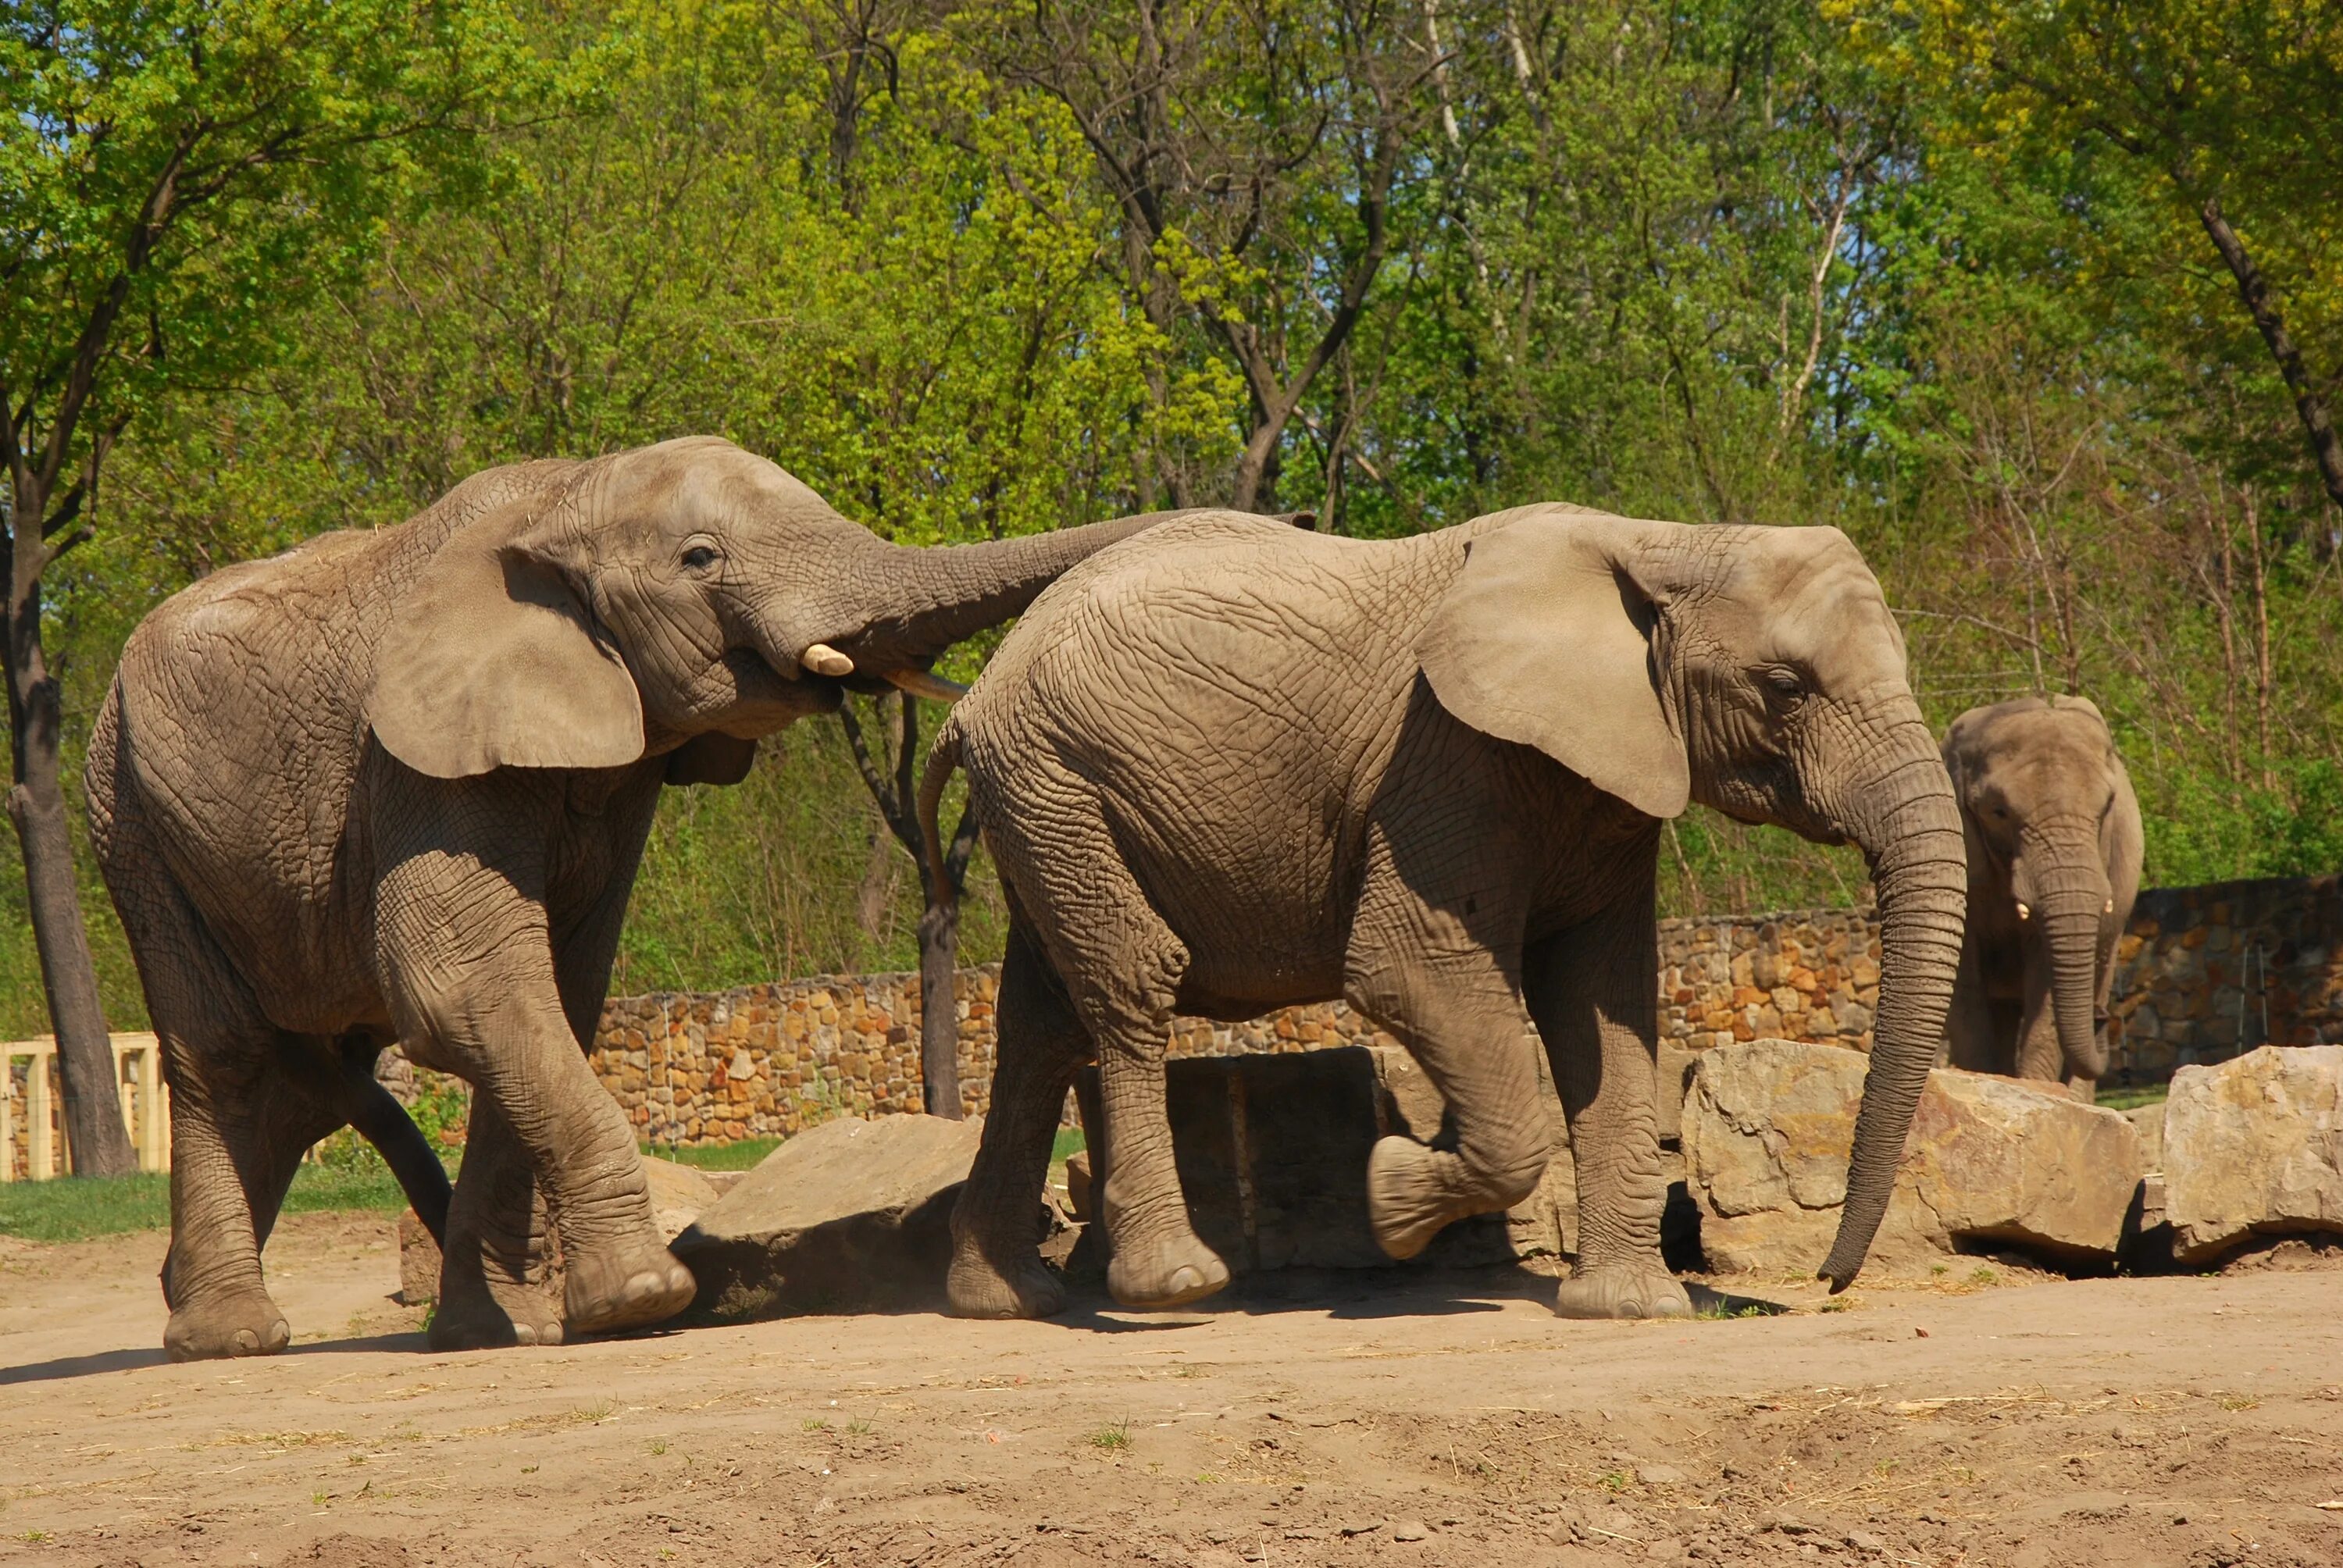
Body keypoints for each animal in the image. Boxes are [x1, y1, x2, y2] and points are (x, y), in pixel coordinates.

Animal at [91, 438, 1172, 1359]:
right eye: (699, 558)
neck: (563, 497)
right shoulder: (408, 761)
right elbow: (464, 988)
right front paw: (641, 1301)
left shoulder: (611, 771)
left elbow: (560, 991)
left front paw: (509, 1332)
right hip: (130, 821)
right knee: (225, 1058)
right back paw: (232, 1338)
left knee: (297, 1084)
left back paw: (194, 1300)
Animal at [923, 501, 1968, 1321]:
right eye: (1786, 687)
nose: (1830, 1280)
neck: (1660, 542)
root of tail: (975, 695)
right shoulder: (1444, 759)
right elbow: (1409, 967)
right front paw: (1390, 1197)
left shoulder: (1612, 779)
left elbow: (1601, 1002)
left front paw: (1630, 1307)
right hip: (1056, 779)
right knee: (1130, 982)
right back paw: (1174, 1287)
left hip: (1044, 803)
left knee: (1040, 1023)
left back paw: (1003, 1298)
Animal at [1940, 689, 2146, 1096]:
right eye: (1998, 812)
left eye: (2107, 808)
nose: (2102, 1020)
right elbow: (1964, 980)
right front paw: (1985, 1082)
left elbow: (2047, 977)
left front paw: (2035, 1091)